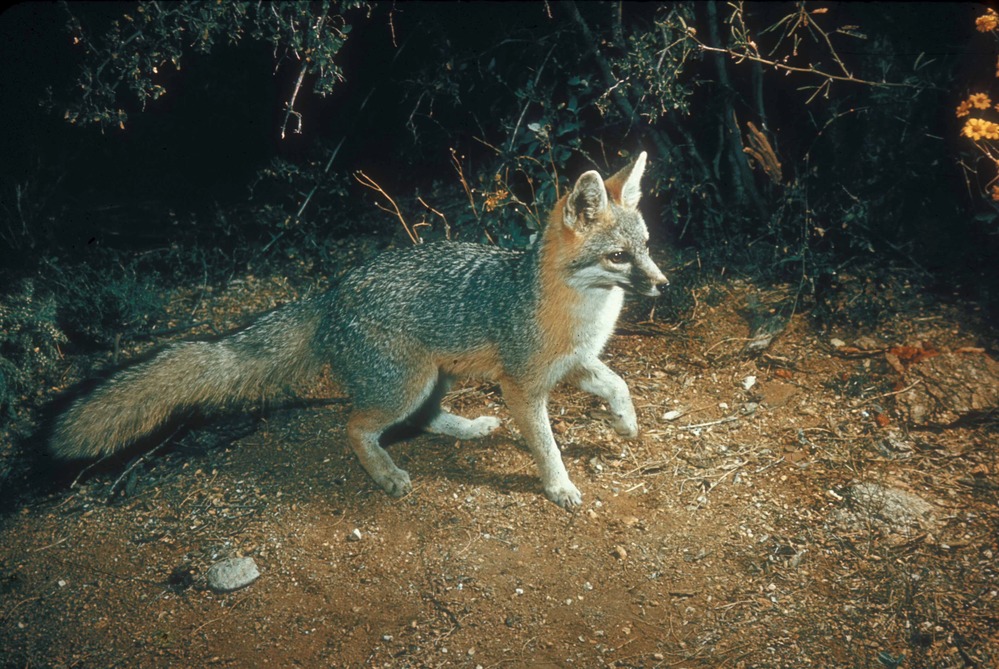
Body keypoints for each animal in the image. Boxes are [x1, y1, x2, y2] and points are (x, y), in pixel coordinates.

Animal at [51, 152, 667, 508]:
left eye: (646, 248)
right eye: (618, 258)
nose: (662, 284)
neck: (581, 310)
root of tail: (332, 292)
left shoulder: (575, 363)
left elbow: (618, 384)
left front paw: (626, 423)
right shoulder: (523, 387)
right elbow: (545, 444)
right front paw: (558, 486)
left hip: (431, 377)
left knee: (422, 418)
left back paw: (467, 429)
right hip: (407, 383)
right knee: (355, 426)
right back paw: (387, 475)